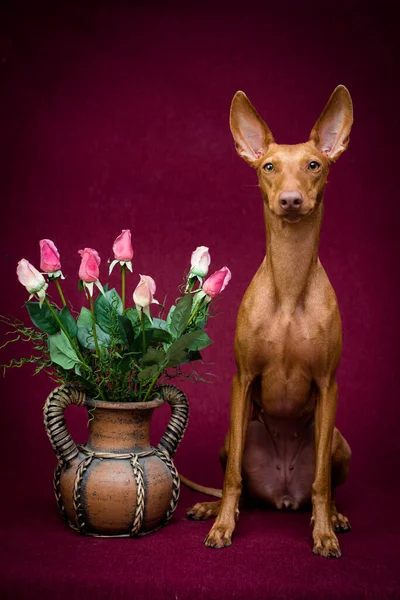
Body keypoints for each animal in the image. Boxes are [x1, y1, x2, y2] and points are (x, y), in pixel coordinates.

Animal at [188, 85, 354, 556]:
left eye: (314, 165)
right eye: (269, 167)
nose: (291, 200)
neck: (289, 286)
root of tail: (282, 494)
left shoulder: (328, 385)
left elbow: (321, 483)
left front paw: (323, 532)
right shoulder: (242, 380)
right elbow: (231, 480)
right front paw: (222, 527)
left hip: (337, 441)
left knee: (322, 483)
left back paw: (335, 515)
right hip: (234, 437)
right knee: (242, 486)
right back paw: (212, 508)